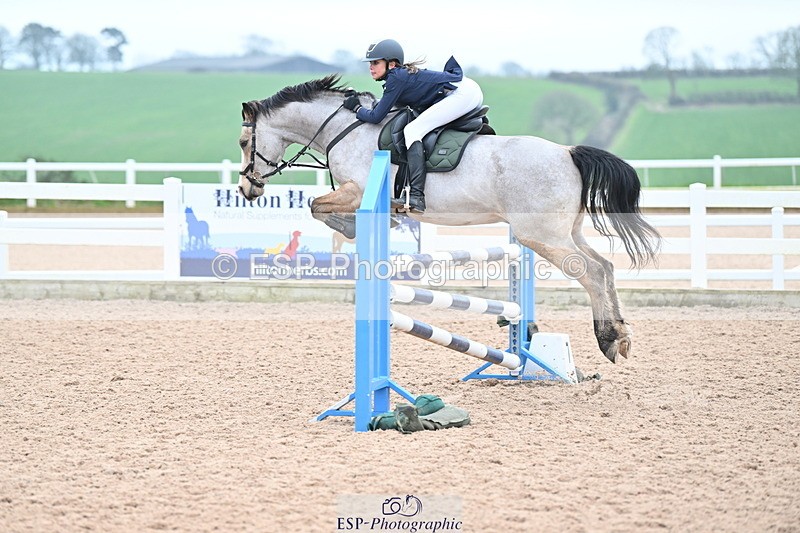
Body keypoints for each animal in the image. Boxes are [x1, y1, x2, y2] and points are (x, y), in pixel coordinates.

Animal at [236, 75, 660, 364]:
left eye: (243, 143)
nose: (246, 188)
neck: (346, 129)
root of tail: (568, 152)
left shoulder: (357, 191)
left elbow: (317, 206)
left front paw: (357, 227)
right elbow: (318, 207)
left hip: (541, 235)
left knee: (591, 272)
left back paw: (608, 340)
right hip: (564, 231)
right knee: (605, 266)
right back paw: (620, 335)